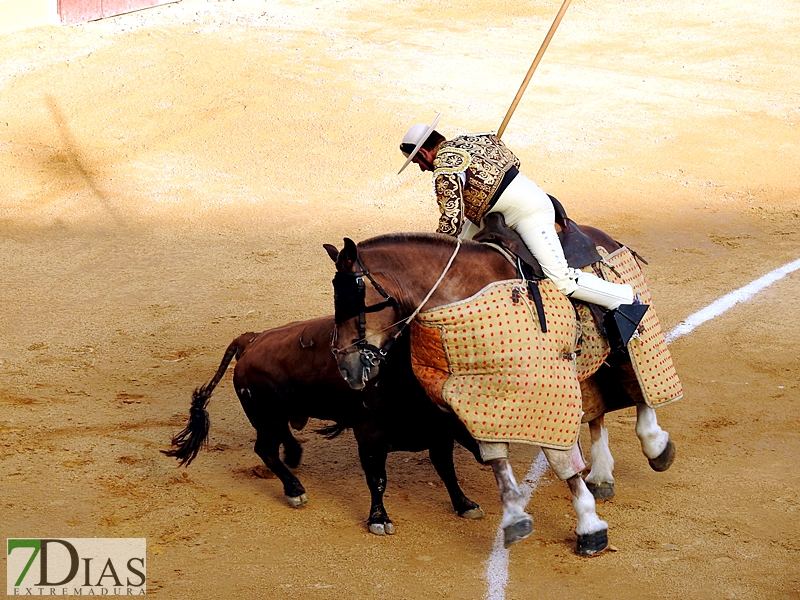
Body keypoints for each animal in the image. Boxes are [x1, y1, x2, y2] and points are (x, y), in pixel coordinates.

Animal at [165, 316, 484, 536]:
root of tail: (252, 339)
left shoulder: (439, 435)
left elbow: (447, 472)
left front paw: (465, 505)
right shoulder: (370, 436)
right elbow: (378, 479)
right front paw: (379, 519)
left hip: (276, 416)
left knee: (279, 440)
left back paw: (294, 454)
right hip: (267, 417)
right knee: (265, 449)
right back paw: (294, 489)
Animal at [324, 227, 676, 556]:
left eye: (354, 298)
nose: (347, 368)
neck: (460, 293)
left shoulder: (544, 389)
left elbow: (560, 458)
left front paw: (590, 528)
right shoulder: (478, 397)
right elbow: (496, 458)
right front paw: (515, 518)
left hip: (624, 349)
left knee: (638, 384)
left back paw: (656, 446)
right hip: (585, 368)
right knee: (596, 410)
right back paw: (602, 474)